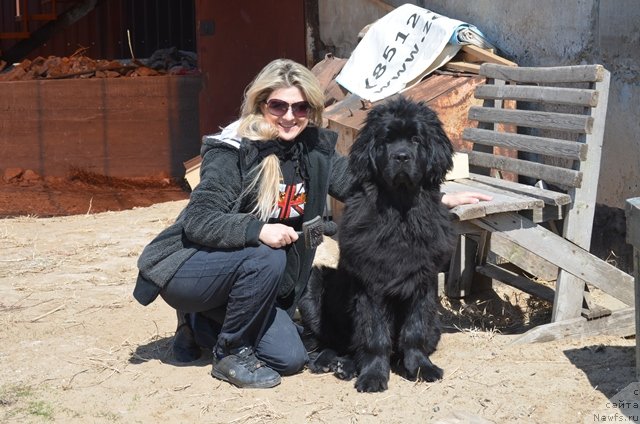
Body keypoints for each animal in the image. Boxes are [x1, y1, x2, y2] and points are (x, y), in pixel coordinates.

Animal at [298, 95, 456, 390]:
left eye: (416, 139)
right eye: (387, 140)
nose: (401, 156)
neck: (400, 212)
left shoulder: (422, 282)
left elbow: (414, 330)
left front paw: (421, 367)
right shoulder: (371, 284)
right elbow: (374, 335)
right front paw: (372, 376)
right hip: (313, 287)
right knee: (330, 342)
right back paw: (332, 362)